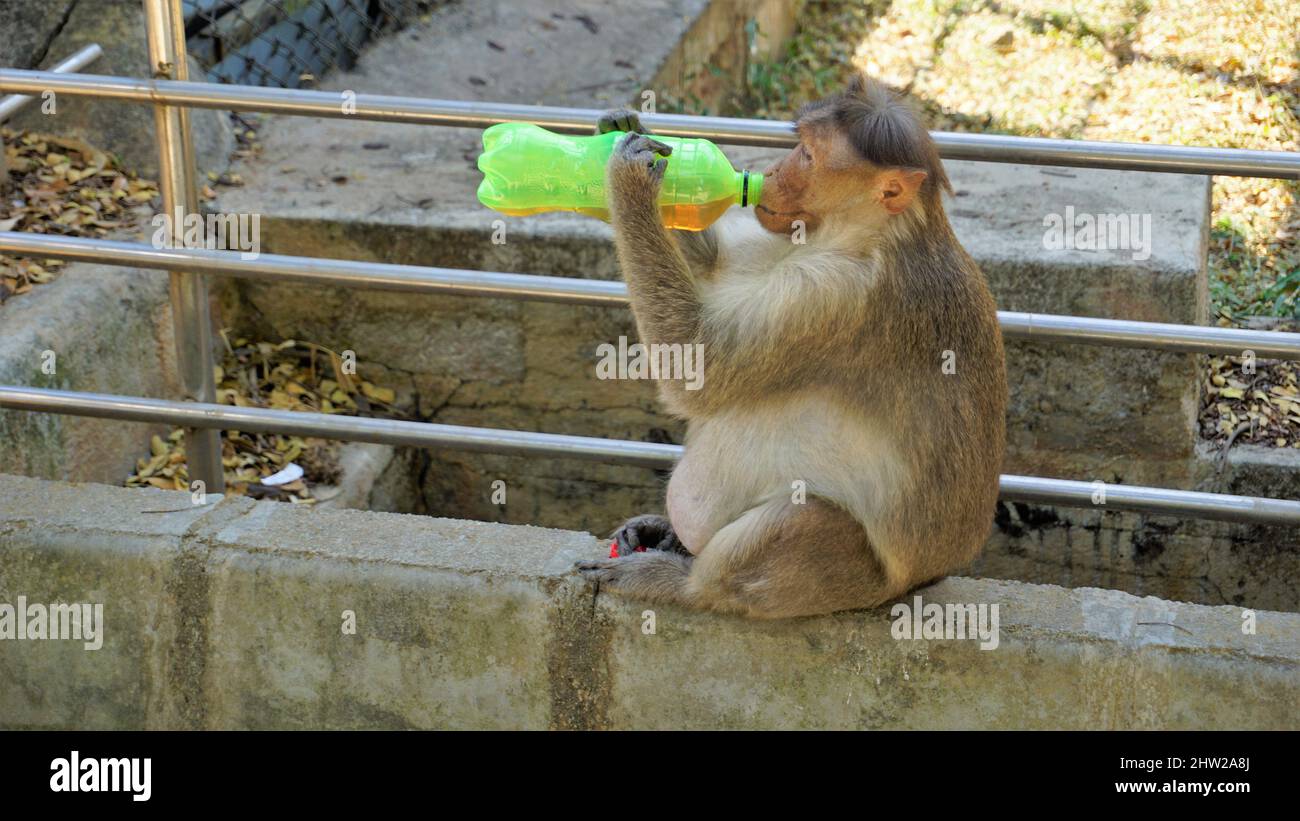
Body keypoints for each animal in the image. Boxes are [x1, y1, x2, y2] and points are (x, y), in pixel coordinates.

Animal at [576, 74, 1007, 619]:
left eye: (808, 154)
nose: (774, 169)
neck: (861, 233)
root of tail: (925, 579)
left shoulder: (832, 294)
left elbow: (697, 366)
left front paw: (630, 179)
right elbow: (713, 271)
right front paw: (621, 128)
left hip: (853, 579)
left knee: (801, 516)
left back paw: (682, 583)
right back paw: (668, 537)